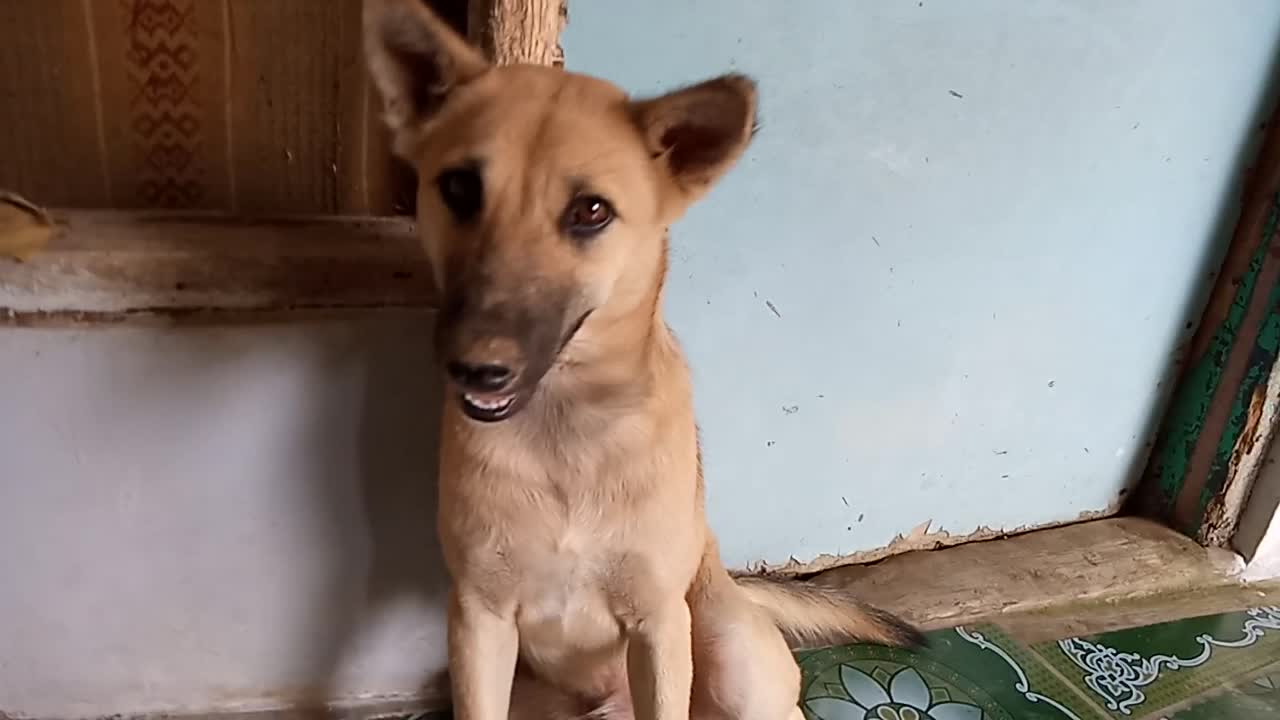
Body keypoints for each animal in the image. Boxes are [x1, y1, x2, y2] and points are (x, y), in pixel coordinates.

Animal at [360, 2, 921, 712]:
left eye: (591, 211)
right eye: (459, 188)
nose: (476, 368)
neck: (566, 429)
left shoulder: (656, 624)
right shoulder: (478, 623)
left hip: (733, 656)